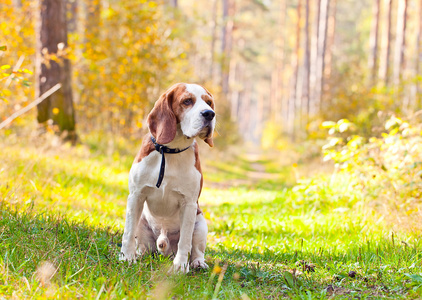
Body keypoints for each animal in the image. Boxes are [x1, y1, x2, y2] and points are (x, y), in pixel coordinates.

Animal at [119, 83, 216, 274]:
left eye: (209, 102)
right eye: (187, 101)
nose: (209, 114)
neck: (171, 151)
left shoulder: (189, 204)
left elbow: (185, 241)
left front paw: (180, 266)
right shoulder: (135, 196)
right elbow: (127, 233)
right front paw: (126, 257)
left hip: (200, 223)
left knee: (196, 250)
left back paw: (197, 263)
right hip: (141, 222)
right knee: (143, 246)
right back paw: (139, 255)